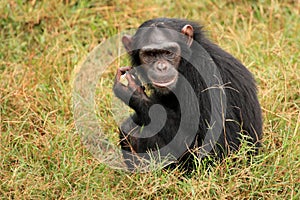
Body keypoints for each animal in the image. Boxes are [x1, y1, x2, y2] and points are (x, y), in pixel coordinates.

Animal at [113, 18, 262, 170]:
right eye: (150, 55)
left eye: (168, 52)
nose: (161, 67)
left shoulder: (205, 76)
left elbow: (218, 146)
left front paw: (133, 93)